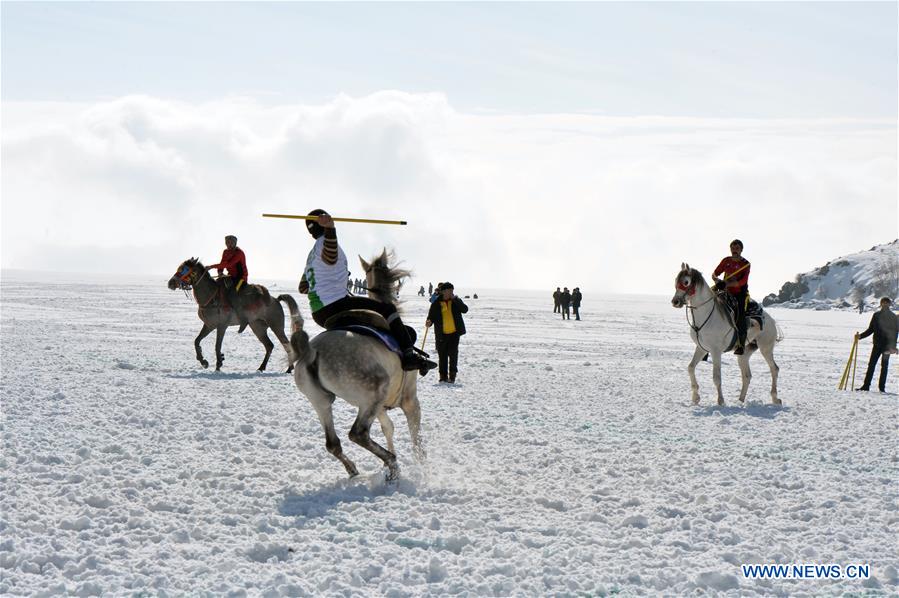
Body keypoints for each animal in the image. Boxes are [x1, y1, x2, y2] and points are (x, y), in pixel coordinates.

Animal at [167, 258, 296, 373]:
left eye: (184, 269)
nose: (170, 283)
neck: (212, 297)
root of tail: (275, 300)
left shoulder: (222, 326)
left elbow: (217, 345)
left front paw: (218, 365)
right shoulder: (209, 325)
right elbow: (196, 341)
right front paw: (204, 362)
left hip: (276, 326)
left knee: (286, 345)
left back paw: (289, 369)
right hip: (257, 326)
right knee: (269, 345)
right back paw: (261, 367)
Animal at [283, 249, 424, 482]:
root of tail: (312, 351)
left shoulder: (380, 407)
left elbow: (388, 428)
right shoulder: (409, 398)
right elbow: (416, 437)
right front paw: (424, 469)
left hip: (321, 401)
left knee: (333, 443)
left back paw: (357, 468)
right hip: (372, 392)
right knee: (358, 434)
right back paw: (392, 464)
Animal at [671, 263, 781, 406]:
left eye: (686, 282)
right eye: (676, 280)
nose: (675, 301)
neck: (707, 316)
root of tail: (772, 321)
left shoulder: (715, 351)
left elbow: (716, 377)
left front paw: (720, 401)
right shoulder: (701, 348)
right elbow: (690, 368)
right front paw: (696, 397)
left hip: (766, 348)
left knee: (774, 369)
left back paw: (775, 398)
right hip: (744, 353)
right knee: (747, 376)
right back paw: (740, 400)